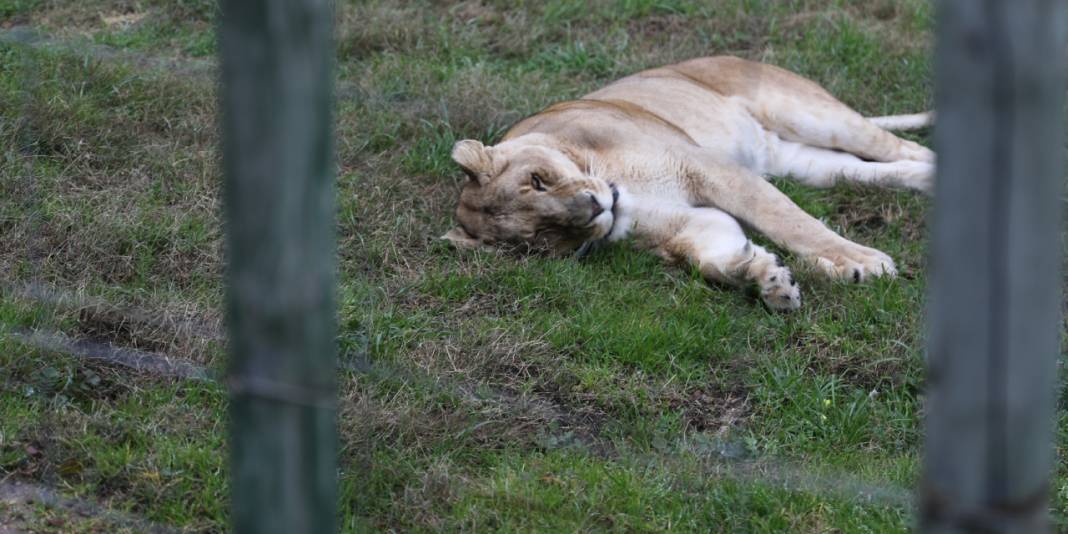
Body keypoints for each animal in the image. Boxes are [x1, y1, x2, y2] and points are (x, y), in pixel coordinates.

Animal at [440, 56, 927, 311]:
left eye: (539, 180)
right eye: (543, 236)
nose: (595, 208)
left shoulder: (708, 167)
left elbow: (791, 221)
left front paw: (864, 262)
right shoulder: (691, 224)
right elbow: (712, 260)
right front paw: (766, 281)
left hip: (813, 116)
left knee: (904, 147)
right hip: (801, 163)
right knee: (863, 169)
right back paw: (928, 180)